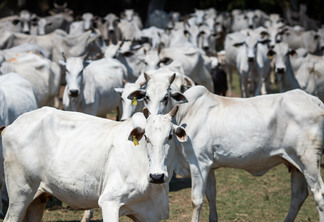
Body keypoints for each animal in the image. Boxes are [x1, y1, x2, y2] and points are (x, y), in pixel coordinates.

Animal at [1, 106, 187, 222]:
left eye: (170, 136)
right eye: (146, 137)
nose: (157, 176)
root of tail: (11, 125)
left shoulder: (148, 213)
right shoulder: (110, 202)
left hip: (37, 198)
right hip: (20, 193)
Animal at [175, 85, 324, 222]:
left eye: (169, 95)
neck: (188, 111)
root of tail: (315, 101)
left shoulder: (198, 162)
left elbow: (196, 200)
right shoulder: (209, 165)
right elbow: (211, 195)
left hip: (308, 160)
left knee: (319, 194)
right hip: (295, 164)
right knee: (299, 195)